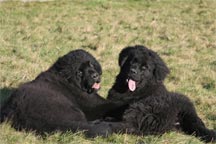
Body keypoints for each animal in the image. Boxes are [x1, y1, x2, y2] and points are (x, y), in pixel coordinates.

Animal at [0, 49, 130, 137]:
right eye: (79, 72)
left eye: (91, 64)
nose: (95, 75)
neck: (69, 81)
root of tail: (20, 113)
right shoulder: (93, 105)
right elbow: (112, 104)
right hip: (71, 110)